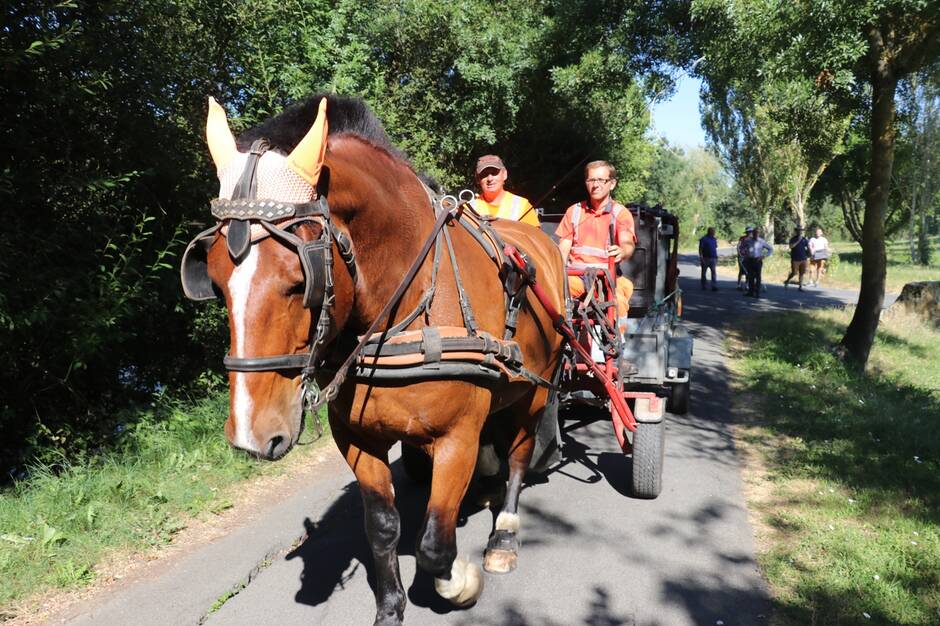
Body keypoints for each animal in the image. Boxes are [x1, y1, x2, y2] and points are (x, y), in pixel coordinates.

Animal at [187, 95, 560, 620]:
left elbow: (435, 544)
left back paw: (503, 534)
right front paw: (389, 607)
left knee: (521, 455)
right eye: (215, 284)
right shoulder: (357, 439)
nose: (250, 437)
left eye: (299, 282)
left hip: (537, 388)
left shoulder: (457, 437)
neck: (409, 301)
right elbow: (382, 527)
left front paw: (461, 581)